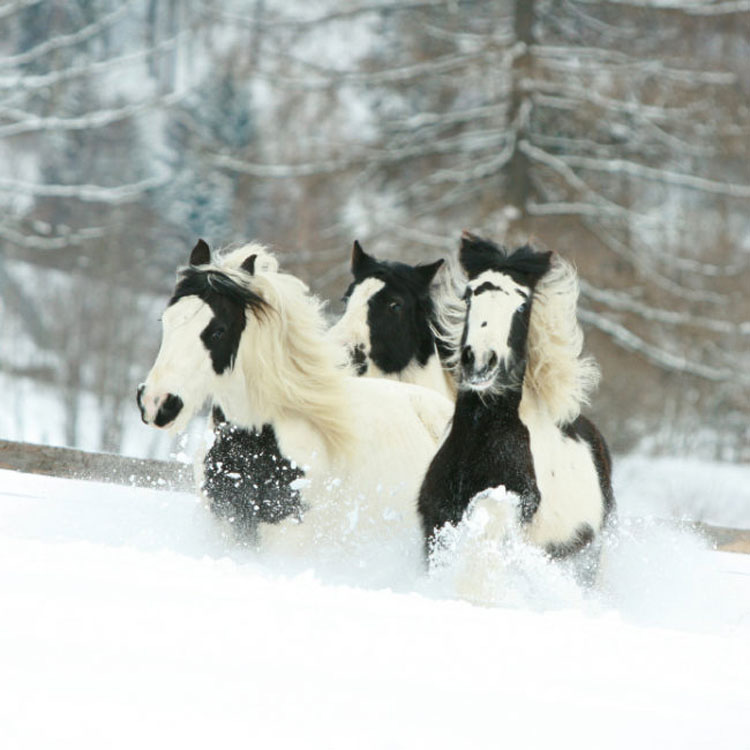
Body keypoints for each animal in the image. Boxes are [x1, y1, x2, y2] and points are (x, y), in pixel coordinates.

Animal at [418, 232, 616, 584]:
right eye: (468, 295)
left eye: (523, 303)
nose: (480, 361)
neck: (481, 441)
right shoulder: (435, 519)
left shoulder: (511, 504)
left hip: (583, 560)